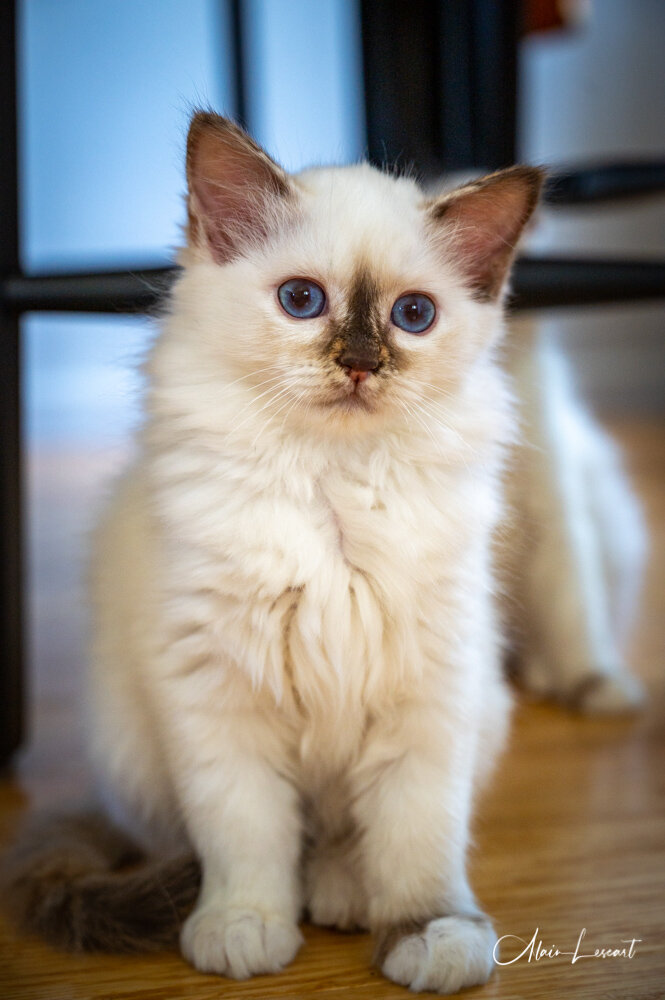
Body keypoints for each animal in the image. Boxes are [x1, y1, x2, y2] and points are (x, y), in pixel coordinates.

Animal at [0, 115, 644, 992]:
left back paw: (344, 894)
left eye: (413, 315)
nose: (361, 364)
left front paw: (429, 935)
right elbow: (247, 838)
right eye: (301, 301)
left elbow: (416, 842)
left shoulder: (430, 695)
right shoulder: (215, 699)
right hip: (130, 744)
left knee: (342, 840)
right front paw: (243, 928)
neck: (335, 490)